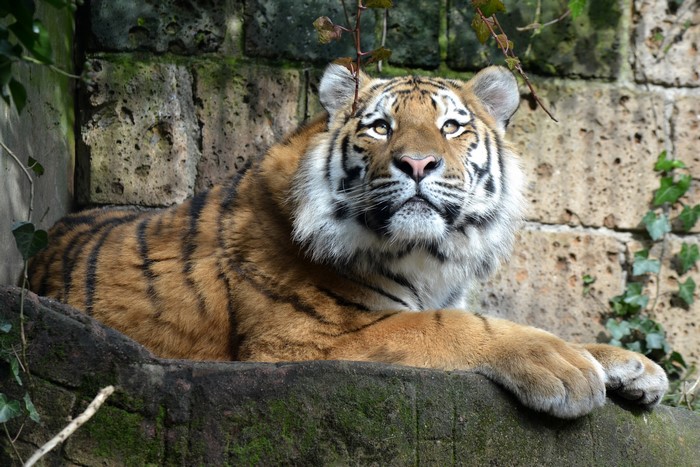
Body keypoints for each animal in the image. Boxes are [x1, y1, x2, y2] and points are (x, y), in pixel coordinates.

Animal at [28, 64, 668, 419]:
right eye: (381, 127)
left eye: (452, 126)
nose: (418, 163)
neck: (428, 257)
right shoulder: (302, 344)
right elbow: (448, 326)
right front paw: (565, 367)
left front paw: (636, 368)